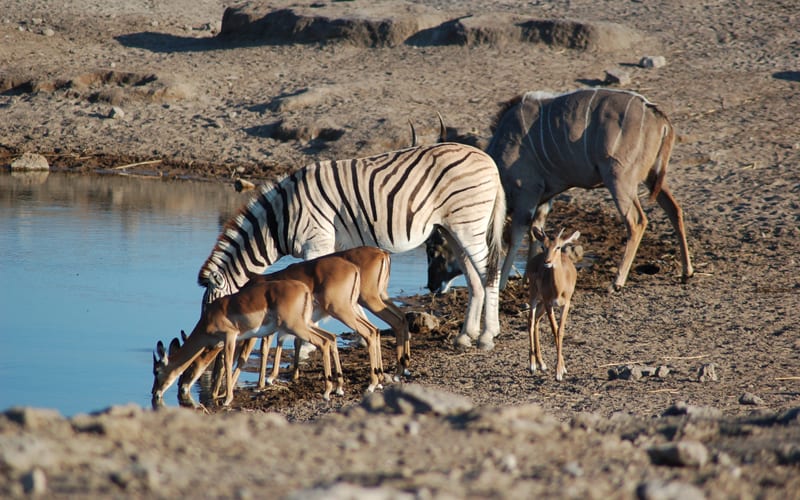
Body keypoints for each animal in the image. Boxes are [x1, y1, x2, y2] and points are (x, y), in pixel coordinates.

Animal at [152, 280, 342, 408]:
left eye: (157, 371)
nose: (155, 393)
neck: (209, 318)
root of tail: (304, 289)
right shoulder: (226, 342)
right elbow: (225, 363)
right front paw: (218, 395)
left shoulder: (230, 336)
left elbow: (229, 362)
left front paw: (226, 399)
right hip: (306, 324)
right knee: (331, 338)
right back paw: (338, 388)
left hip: (295, 326)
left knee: (323, 342)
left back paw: (327, 392)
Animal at [197, 143, 504, 350]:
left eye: (212, 312)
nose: (209, 346)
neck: (279, 220)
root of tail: (488, 160)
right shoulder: (329, 246)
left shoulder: (316, 241)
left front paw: (306, 346)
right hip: (453, 230)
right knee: (474, 277)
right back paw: (465, 335)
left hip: (469, 224)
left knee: (490, 271)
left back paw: (488, 335)